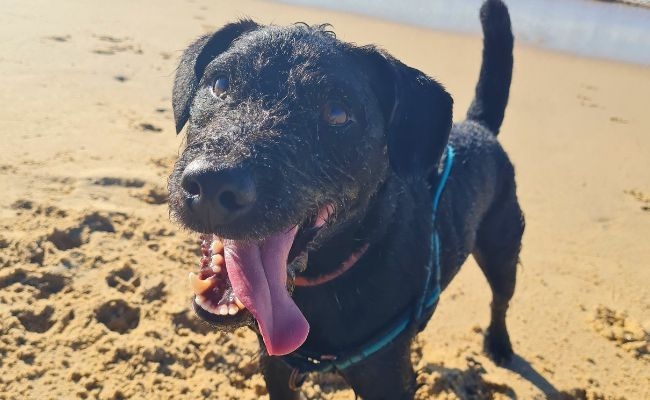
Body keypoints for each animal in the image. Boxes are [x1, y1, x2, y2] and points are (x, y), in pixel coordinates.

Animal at [167, 0, 520, 396]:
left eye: (337, 113)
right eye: (220, 84)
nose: (213, 183)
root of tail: (479, 126)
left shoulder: (387, 378)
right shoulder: (277, 368)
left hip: (502, 249)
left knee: (501, 300)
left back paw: (499, 343)